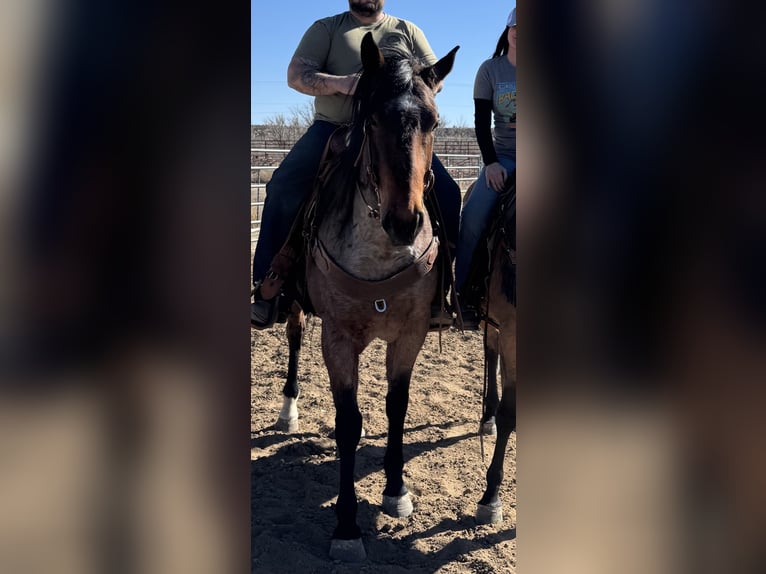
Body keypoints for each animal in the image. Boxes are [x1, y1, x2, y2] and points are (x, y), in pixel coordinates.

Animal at [274, 33, 459, 561]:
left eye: (432, 121)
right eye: (373, 120)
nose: (405, 222)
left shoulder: (410, 334)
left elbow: (396, 406)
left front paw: (396, 492)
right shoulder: (337, 339)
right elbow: (349, 423)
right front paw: (347, 526)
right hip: (296, 306)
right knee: (294, 337)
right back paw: (288, 409)